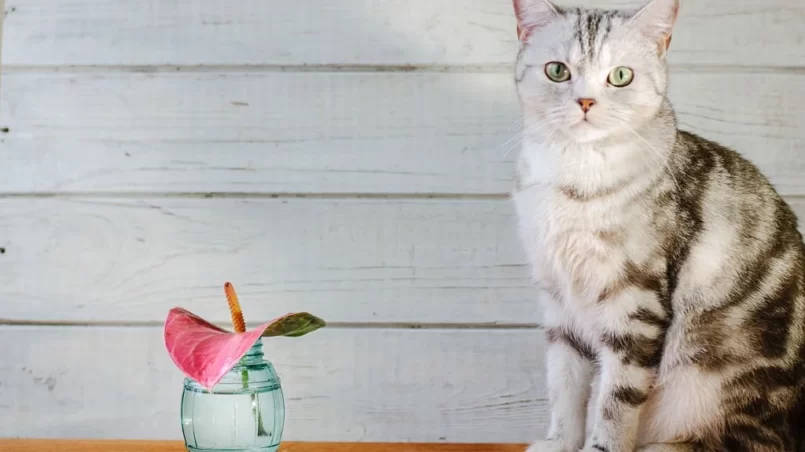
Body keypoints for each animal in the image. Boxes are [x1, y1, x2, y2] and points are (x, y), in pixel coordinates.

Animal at [508, 0, 804, 450]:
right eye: (557, 70)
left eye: (620, 76)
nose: (586, 102)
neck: (576, 179)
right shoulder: (559, 300)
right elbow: (564, 383)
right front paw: (559, 442)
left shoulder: (635, 305)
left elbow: (616, 400)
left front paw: (601, 446)